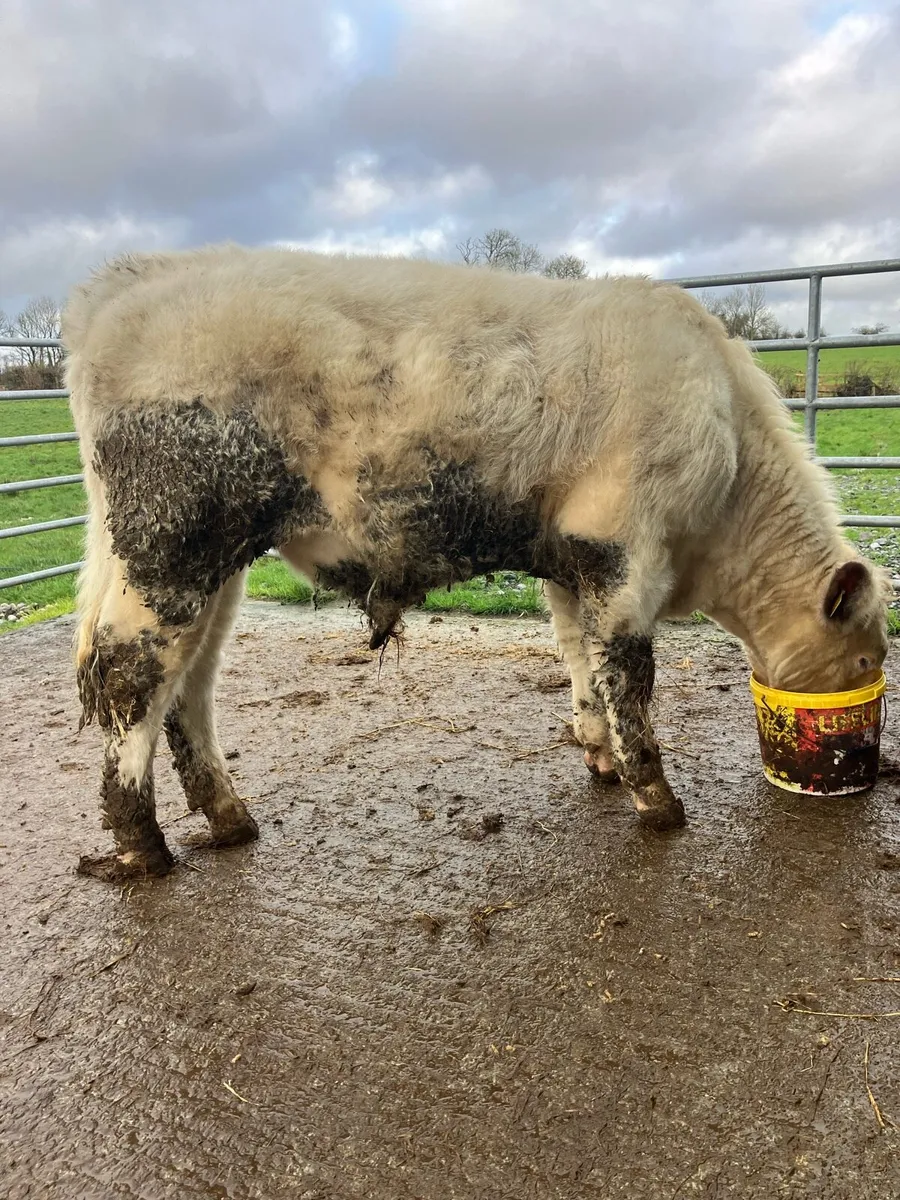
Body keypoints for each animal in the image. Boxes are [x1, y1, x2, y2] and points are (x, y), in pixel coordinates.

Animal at [61, 244, 890, 880]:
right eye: (864, 661)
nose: (865, 757)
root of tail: (127, 280)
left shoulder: (571, 561)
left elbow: (581, 659)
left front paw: (598, 756)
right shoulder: (626, 554)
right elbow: (629, 677)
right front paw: (657, 798)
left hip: (215, 565)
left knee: (190, 685)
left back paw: (229, 817)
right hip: (170, 547)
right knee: (130, 672)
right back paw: (142, 847)